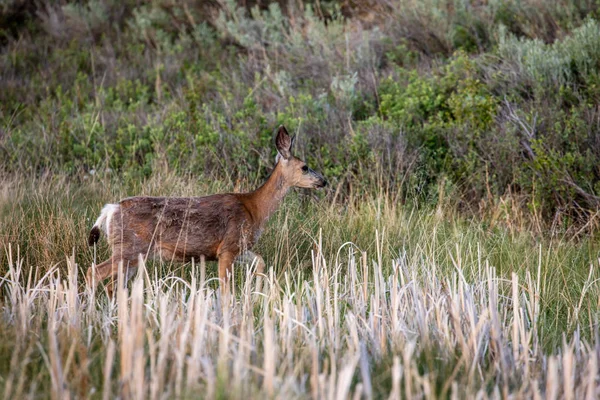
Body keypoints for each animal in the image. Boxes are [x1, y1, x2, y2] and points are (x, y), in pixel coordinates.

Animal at [85, 126, 328, 296]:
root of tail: (110, 209)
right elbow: (225, 288)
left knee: (111, 285)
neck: (254, 209)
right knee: (93, 273)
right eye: (305, 167)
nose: (323, 181)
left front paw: (257, 293)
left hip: (134, 254)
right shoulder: (228, 247)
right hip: (129, 247)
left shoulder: (236, 247)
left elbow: (260, 262)